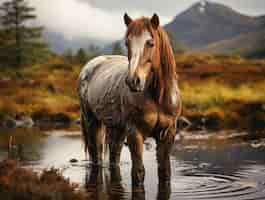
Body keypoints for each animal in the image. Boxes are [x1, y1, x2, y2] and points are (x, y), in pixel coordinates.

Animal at [77, 13, 182, 186]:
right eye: (127, 43)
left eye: (150, 43)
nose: (133, 81)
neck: (157, 97)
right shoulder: (135, 133)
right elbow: (138, 173)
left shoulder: (167, 134)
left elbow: (165, 172)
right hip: (92, 121)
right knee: (96, 155)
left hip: (117, 129)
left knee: (114, 156)